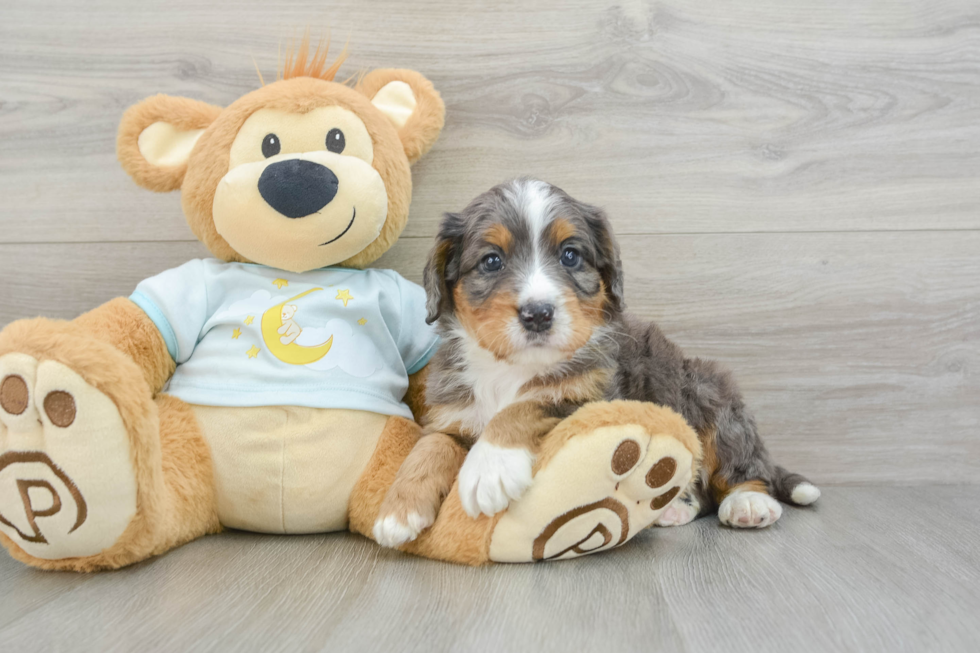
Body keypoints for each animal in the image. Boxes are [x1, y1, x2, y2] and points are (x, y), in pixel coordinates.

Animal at [376, 177, 820, 544]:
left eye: (570, 256)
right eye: (491, 261)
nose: (538, 314)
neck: (512, 368)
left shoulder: (589, 398)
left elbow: (525, 405)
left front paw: (490, 467)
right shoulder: (454, 412)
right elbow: (431, 443)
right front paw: (399, 508)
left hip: (709, 393)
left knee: (740, 469)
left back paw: (748, 503)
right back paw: (673, 509)